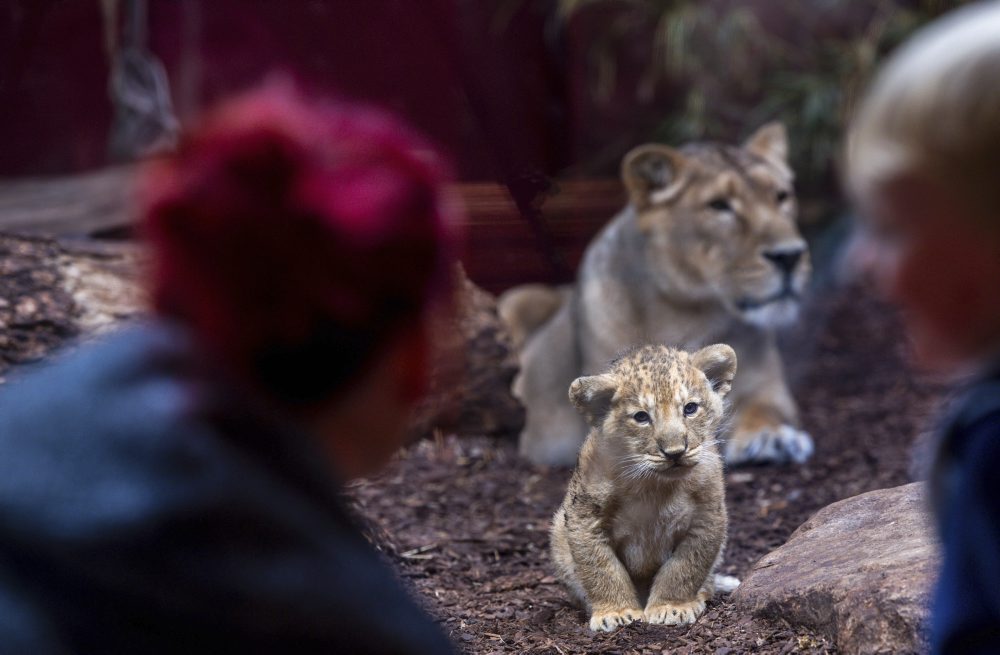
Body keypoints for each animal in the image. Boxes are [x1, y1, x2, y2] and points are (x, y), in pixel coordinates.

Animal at [504, 124, 816, 466]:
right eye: (719, 205)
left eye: (781, 196)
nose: (790, 256)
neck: (690, 313)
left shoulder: (766, 387)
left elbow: (764, 408)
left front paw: (771, 436)